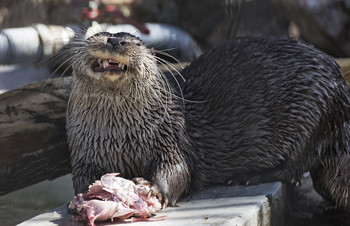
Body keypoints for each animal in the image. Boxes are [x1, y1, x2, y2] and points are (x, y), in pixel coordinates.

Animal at [67, 31, 350, 210]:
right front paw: (78, 199)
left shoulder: (170, 137)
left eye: (134, 41)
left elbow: (179, 170)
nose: (115, 40)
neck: (120, 137)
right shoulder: (84, 153)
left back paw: (249, 176)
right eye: (101, 33)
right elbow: (81, 179)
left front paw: (152, 188)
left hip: (313, 113)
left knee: (294, 167)